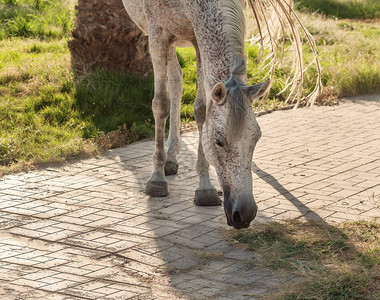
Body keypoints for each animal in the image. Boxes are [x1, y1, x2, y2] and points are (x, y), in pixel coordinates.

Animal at [121, 0, 320, 229]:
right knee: (174, 82)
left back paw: (171, 158)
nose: (244, 214)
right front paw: (156, 180)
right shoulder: (157, 32)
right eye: (218, 141)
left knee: (177, 80)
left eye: (257, 138)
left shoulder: (196, 37)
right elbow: (161, 104)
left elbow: (201, 109)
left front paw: (205, 189)